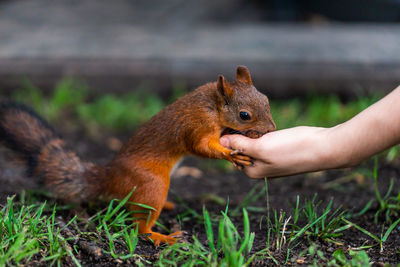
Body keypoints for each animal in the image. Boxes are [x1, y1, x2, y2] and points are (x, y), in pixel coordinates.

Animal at [0, 66, 276, 246]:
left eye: (267, 99)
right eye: (244, 115)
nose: (272, 129)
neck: (212, 105)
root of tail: (109, 176)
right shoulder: (196, 125)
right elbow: (200, 147)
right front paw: (231, 155)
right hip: (152, 184)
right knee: (140, 228)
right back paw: (161, 236)